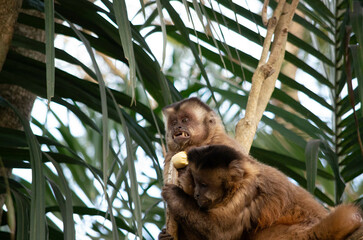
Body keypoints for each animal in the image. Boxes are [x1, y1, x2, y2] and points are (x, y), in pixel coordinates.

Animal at [163, 144, 363, 240]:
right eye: (196, 183)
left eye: (203, 184)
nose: (197, 194)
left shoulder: (247, 193)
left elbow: (220, 233)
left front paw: (174, 196)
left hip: (301, 235)